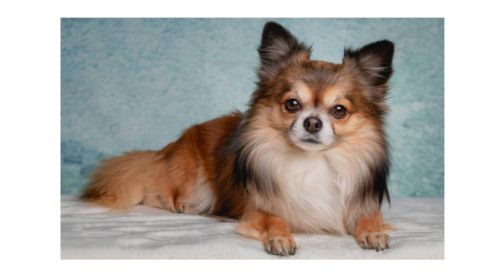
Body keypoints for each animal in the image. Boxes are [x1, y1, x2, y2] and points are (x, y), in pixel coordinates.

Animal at [81, 21, 394, 256]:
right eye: (292, 104)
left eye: (339, 110)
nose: (313, 122)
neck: (312, 161)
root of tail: (164, 149)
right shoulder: (255, 210)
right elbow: (274, 218)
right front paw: (280, 237)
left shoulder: (358, 204)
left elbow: (368, 217)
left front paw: (374, 232)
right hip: (188, 176)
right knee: (157, 190)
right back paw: (184, 205)